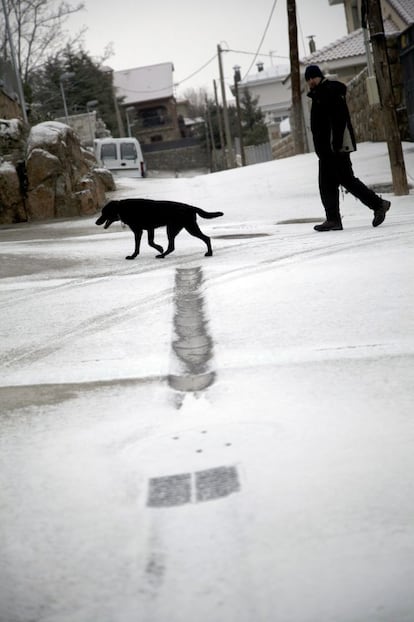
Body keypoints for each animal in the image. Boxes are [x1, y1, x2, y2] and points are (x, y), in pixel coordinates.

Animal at [95, 200, 223, 258]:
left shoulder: (139, 231)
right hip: (177, 228)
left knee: (206, 238)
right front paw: (158, 248)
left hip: (183, 228)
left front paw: (133, 256)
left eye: (104, 213)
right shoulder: (148, 229)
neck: (121, 208)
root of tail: (191, 207)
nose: (96, 222)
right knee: (172, 246)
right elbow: (148, 242)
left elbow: (142, 244)